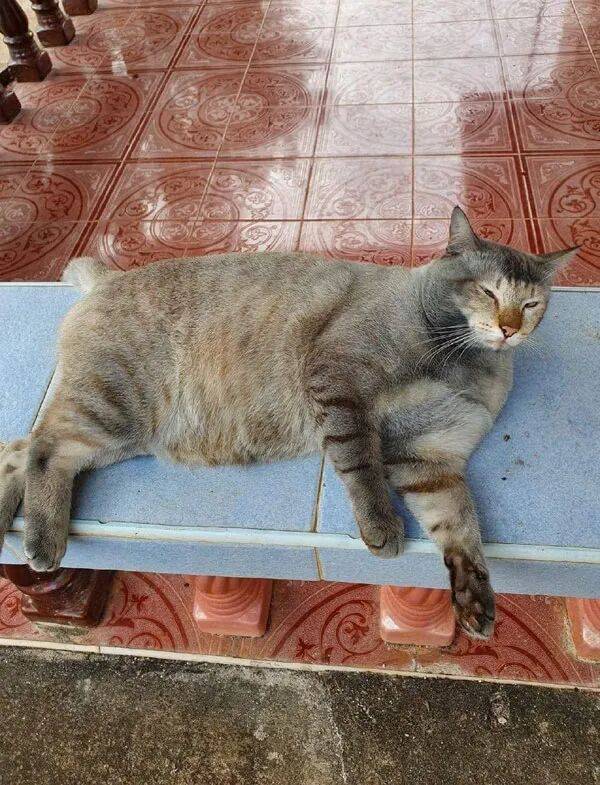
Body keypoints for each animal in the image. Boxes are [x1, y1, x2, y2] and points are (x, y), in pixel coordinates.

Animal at [0, 207, 576, 639]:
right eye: (487, 291)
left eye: (531, 302)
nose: (509, 328)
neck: (458, 355)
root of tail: (108, 278)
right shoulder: (338, 379)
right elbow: (360, 462)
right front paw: (380, 526)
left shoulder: (430, 460)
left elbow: (461, 527)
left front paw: (474, 597)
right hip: (115, 410)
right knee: (44, 447)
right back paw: (42, 542)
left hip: (116, 431)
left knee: (18, 450)